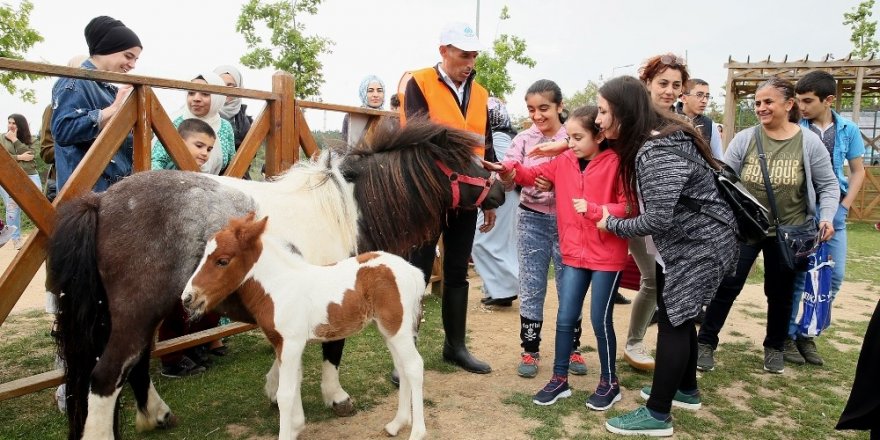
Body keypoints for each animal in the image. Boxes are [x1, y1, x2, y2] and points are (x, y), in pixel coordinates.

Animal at [180, 213, 428, 440]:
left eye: (222, 260)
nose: (188, 298)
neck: (279, 286)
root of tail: (412, 270)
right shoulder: (284, 345)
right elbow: (294, 384)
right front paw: (296, 427)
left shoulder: (291, 344)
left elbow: (285, 394)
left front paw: (287, 432)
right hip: (388, 330)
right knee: (402, 367)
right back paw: (397, 424)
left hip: (398, 329)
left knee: (414, 366)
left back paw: (417, 432)